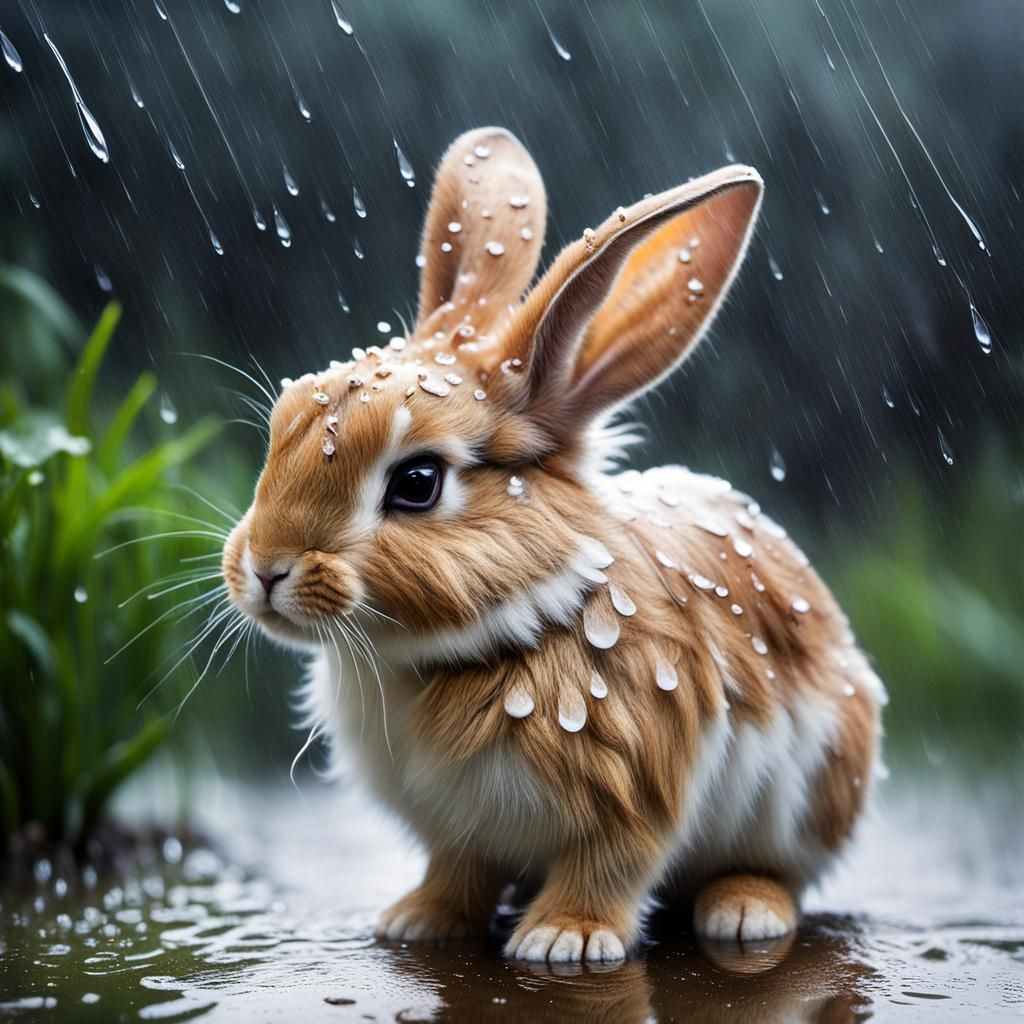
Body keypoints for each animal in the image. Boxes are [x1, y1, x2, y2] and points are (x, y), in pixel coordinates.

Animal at [221, 127, 885, 964]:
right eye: (285, 420)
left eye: (416, 483)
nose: (265, 570)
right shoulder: (459, 832)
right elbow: (457, 873)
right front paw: (418, 921)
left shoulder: (636, 790)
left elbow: (609, 867)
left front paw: (564, 940)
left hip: (816, 788)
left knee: (779, 874)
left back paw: (742, 913)